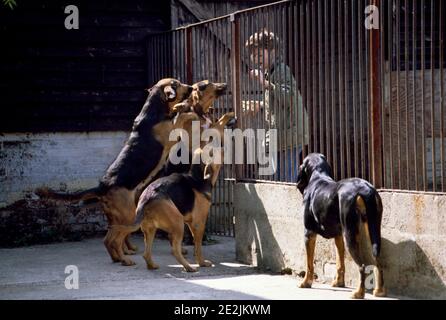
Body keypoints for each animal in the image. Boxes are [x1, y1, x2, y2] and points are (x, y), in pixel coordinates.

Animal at [37, 79, 199, 264]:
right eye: (176, 84)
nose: (191, 88)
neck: (154, 109)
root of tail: (102, 186)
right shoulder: (170, 133)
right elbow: (182, 117)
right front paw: (191, 112)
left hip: (117, 217)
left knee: (109, 240)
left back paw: (118, 258)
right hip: (129, 215)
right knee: (112, 240)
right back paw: (125, 260)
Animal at [294, 152, 386, 298]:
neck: (318, 175)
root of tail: (366, 189)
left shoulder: (308, 233)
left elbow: (309, 264)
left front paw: (305, 283)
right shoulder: (338, 236)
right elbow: (340, 262)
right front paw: (339, 283)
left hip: (350, 235)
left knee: (362, 266)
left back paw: (358, 293)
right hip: (372, 232)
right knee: (378, 261)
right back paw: (379, 291)